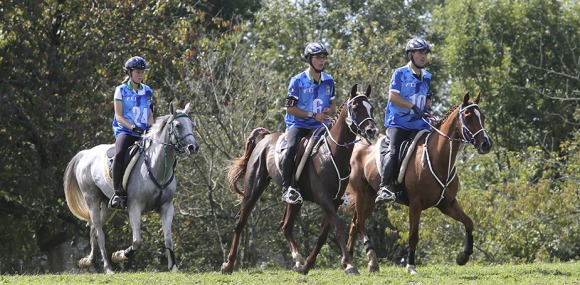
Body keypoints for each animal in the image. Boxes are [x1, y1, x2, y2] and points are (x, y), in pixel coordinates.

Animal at [63, 102, 199, 272]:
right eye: (178, 125)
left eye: (192, 125)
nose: (194, 147)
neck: (156, 166)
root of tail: (86, 153)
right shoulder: (135, 205)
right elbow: (137, 241)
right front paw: (119, 255)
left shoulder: (167, 206)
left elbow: (168, 238)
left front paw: (173, 267)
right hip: (91, 198)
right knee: (99, 232)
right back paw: (108, 267)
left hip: (108, 205)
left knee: (94, 227)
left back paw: (89, 260)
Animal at [220, 83, 378, 274]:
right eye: (355, 107)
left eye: (371, 107)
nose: (371, 130)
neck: (332, 153)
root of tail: (266, 138)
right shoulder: (324, 199)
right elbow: (338, 229)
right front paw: (349, 265)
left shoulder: (334, 201)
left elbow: (323, 235)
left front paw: (308, 265)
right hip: (253, 189)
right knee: (240, 222)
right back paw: (228, 264)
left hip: (295, 200)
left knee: (286, 226)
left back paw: (298, 260)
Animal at [346, 91, 492, 272]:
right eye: (468, 117)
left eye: (483, 116)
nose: (486, 144)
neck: (439, 159)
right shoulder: (415, 205)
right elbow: (413, 236)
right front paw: (411, 266)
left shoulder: (447, 204)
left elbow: (469, 223)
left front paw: (463, 256)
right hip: (362, 194)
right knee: (359, 223)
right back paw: (371, 261)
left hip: (370, 198)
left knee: (354, 224)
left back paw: (348, 261)